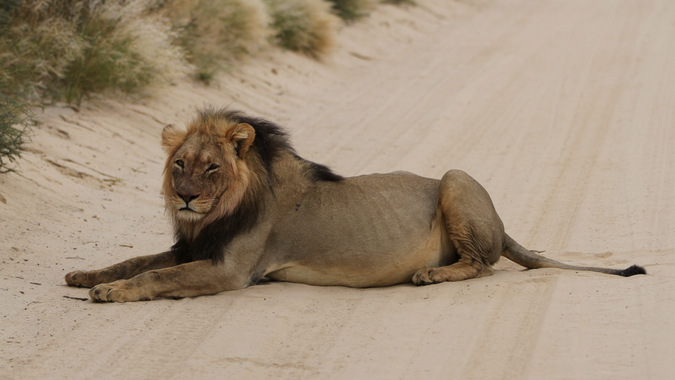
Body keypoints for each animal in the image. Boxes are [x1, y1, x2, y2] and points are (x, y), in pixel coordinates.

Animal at [64, 107, 648, 302]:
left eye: (211, 168)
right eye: (180, 164)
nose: (185, 197)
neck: (217, 213)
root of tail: (503, 227)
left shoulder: (231, 269)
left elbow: (156, 276)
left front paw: (110, 292)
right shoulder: (194, 247)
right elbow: (137, 260)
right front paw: (85, 275)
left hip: (455, 179)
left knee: (481, 265)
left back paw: (430, 276)